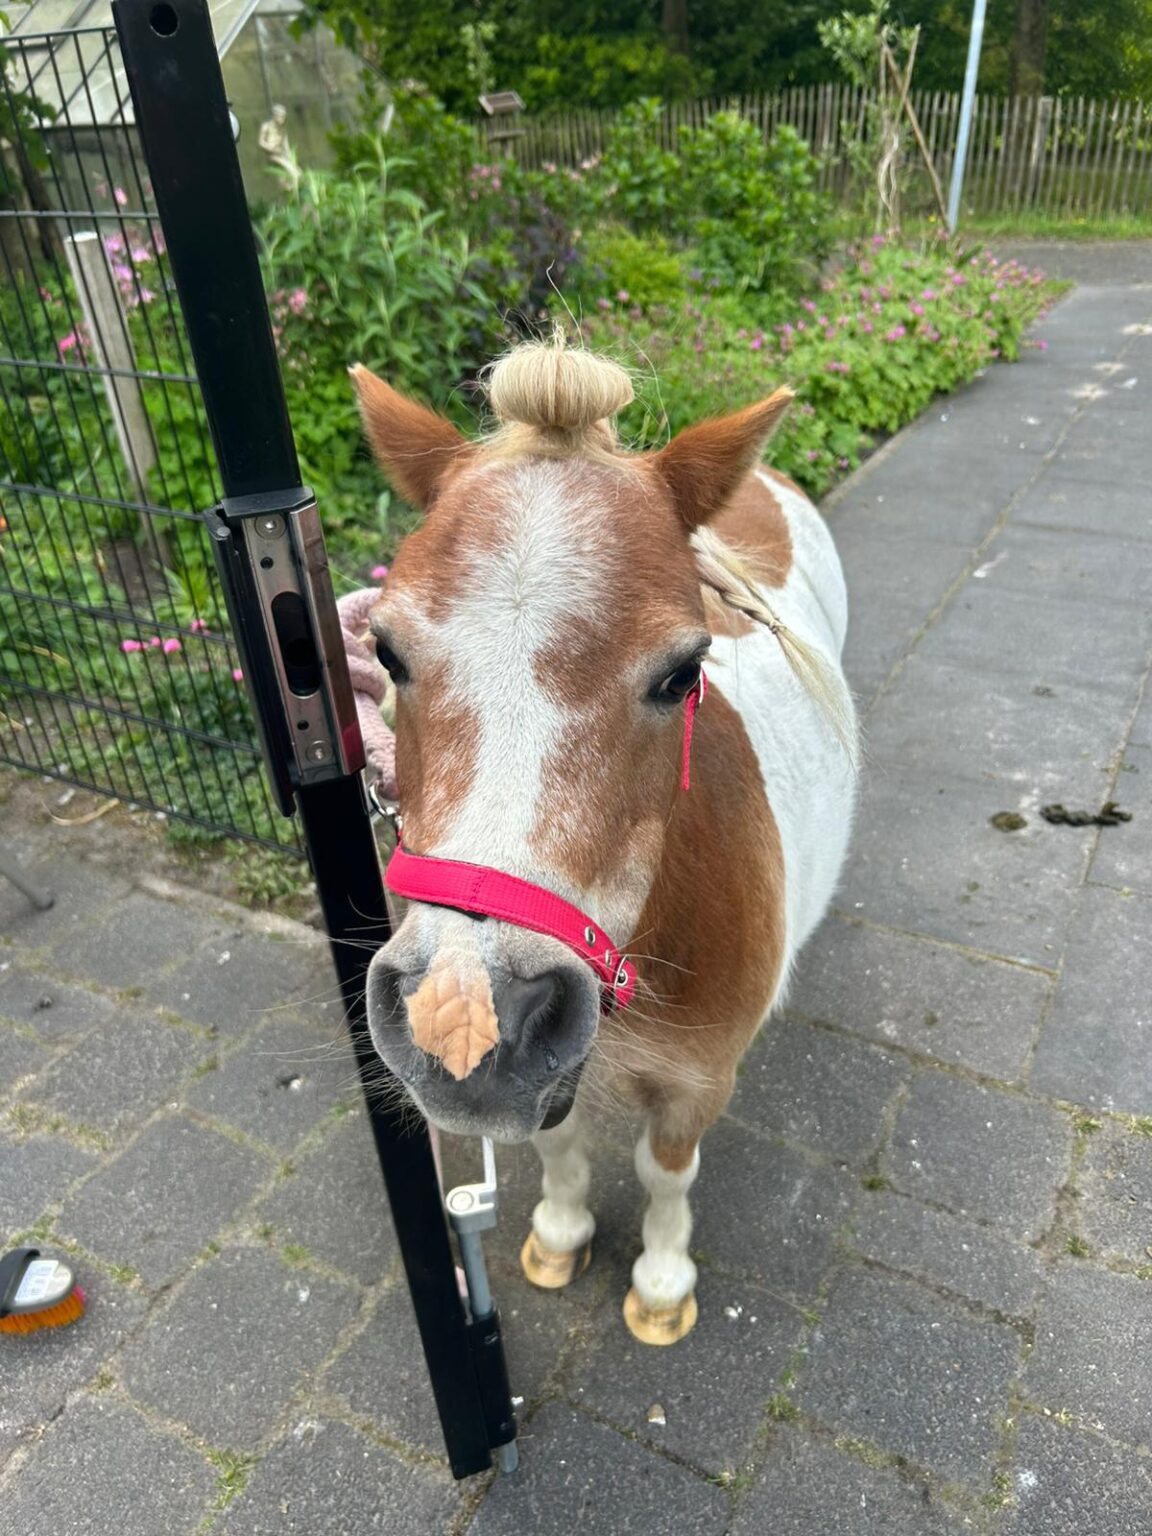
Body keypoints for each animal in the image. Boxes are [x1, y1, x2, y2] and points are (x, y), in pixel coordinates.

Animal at [353, 337, 858, 1345]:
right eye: (386, 653)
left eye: (683, 672)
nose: (466, 1016)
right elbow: (558, 1141)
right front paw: (559, 1232)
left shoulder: (698, 1083)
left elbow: (668, 1173)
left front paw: (662, 1283)